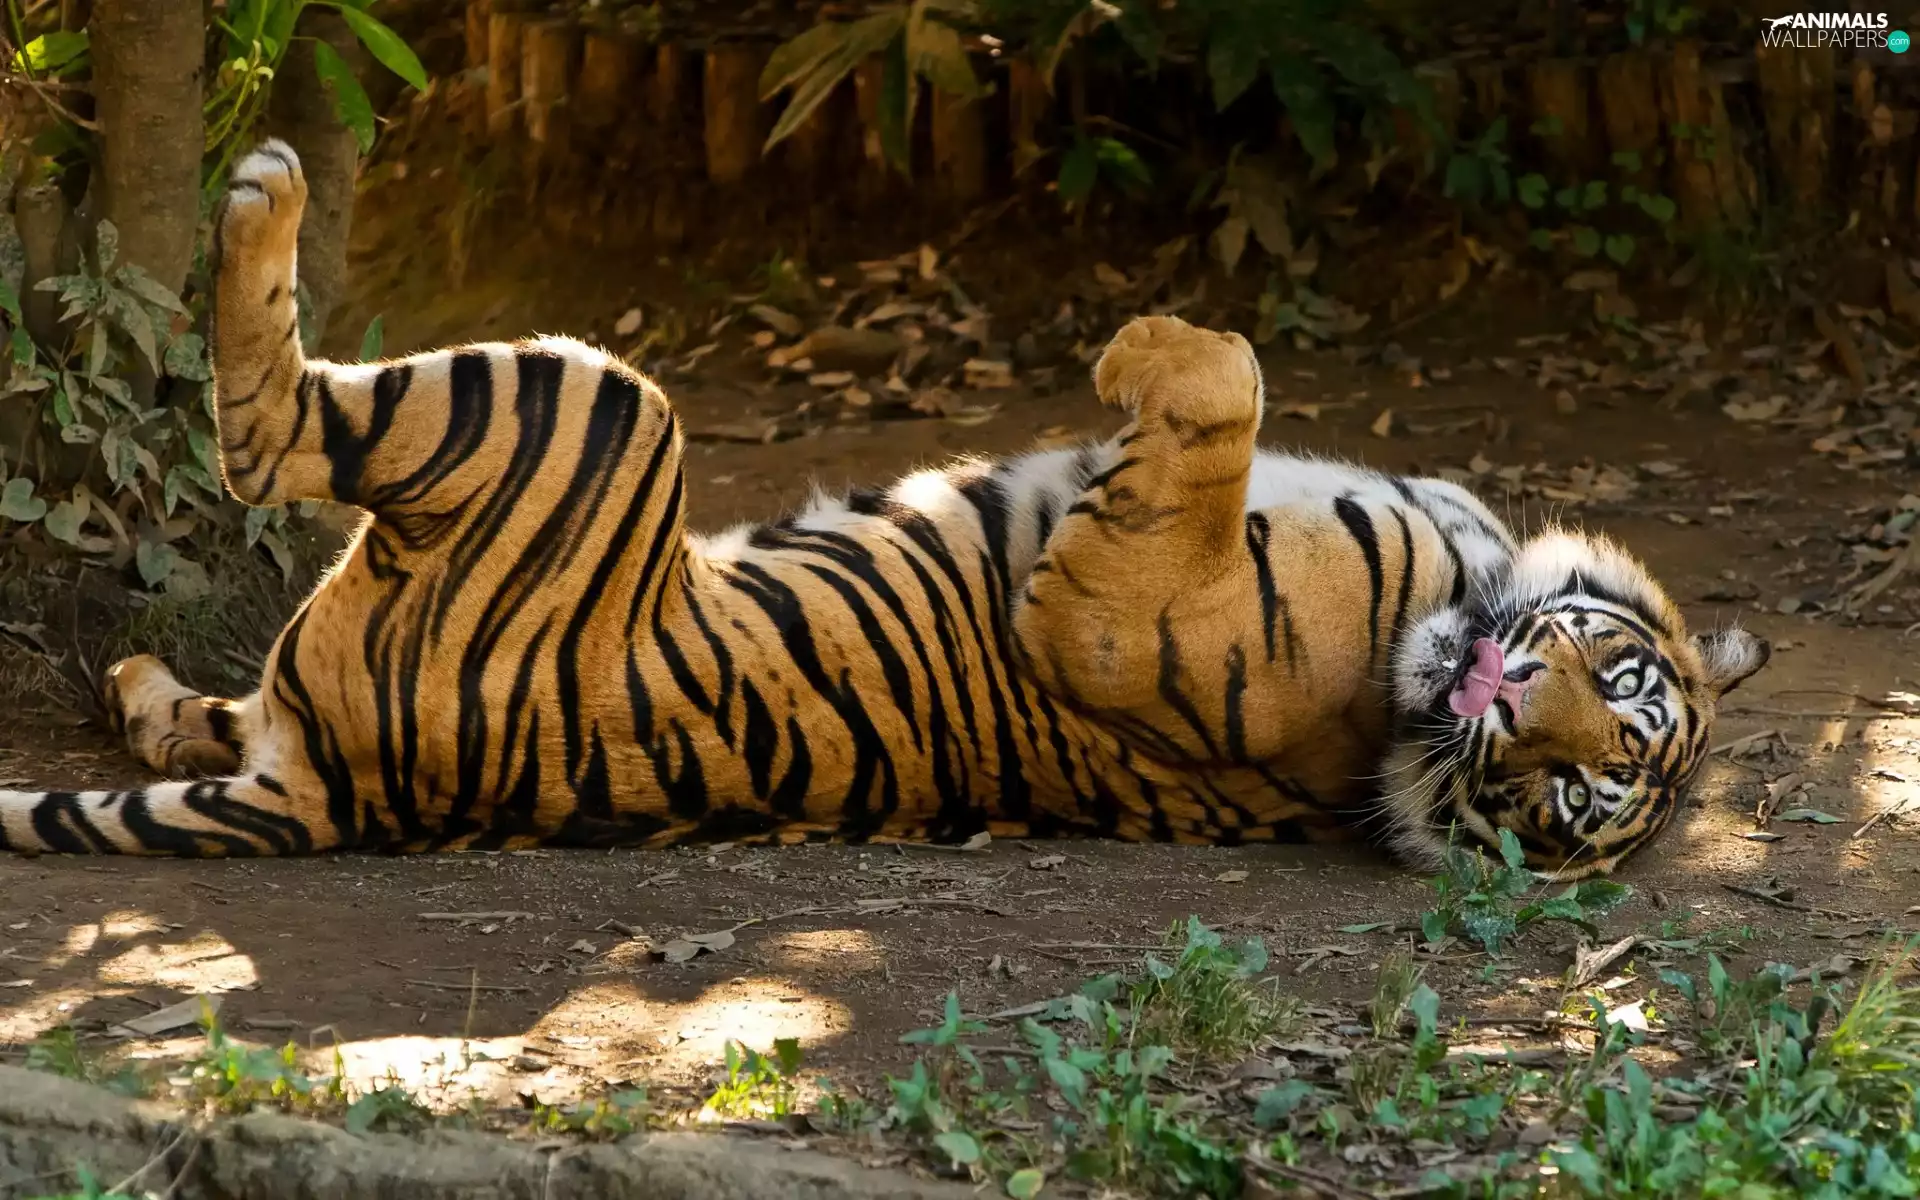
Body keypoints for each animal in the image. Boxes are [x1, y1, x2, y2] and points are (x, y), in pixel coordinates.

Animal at [0, 141, 1769, 877]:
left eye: (1566, 797)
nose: (1509, 704)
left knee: (266, 429)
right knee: (205, 695)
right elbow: (1234, 388)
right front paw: (1134, 355)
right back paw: (142, 678)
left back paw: (266, 193)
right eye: (1608, 691)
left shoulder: (1119, 611)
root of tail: (348, 797)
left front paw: (1138, 350)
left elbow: (1225, 392)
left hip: (590, 400)